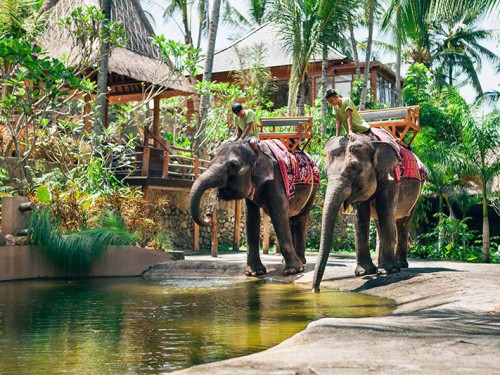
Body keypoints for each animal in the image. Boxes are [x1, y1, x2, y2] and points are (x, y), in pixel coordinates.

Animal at [189, 140, 318, 276]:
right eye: (210, 163)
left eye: (233, 165)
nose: (208, 214)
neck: (257, 150)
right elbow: (251, 218)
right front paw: (255, 273)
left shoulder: (276, 180)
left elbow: (278, 214)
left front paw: (292, 271)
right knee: (290, 219)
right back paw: (288, 260)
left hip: (312, 191)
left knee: (300, 220)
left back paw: (301, 261)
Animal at [312, 136, 426, 294]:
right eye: (326, 170)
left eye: (354, 168)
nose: (315, 289)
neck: (372, 143)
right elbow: (361, 215)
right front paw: (364, 273)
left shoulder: (390, 177)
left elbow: (385, 210)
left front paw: (387, 271)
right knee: (379, 222)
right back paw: (380, 263)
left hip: (418, 191)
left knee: (403, 222)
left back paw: (400, 265)